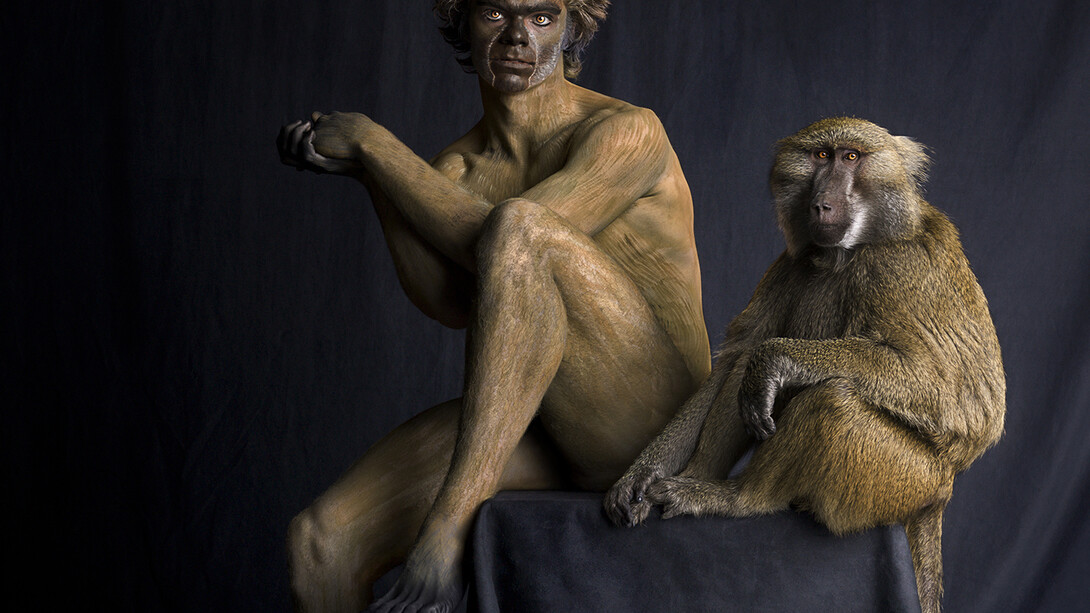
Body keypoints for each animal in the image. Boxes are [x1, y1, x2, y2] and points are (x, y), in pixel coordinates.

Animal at [604, 117, 1006, 613]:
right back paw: (696, 478)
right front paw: (639, 476)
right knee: (745, 375)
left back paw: (739, 498)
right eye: (820, 156)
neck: (847, 252)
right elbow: (736, 357)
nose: (822, 203)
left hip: (907, 480)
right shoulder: (788, 265)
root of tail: (940, 495)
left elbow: (950, 392)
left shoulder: (898, 266)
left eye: (851, 157)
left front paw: (777, 357)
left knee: (832, 399)